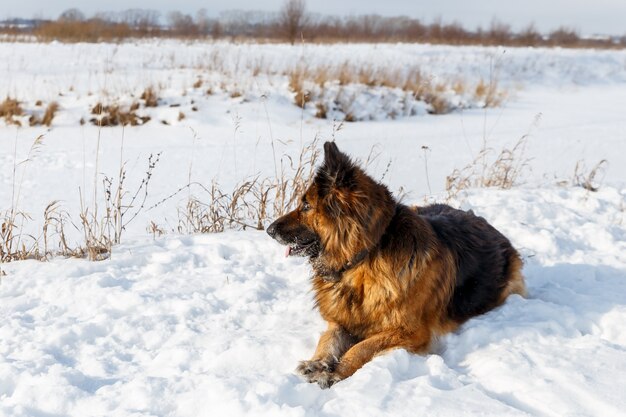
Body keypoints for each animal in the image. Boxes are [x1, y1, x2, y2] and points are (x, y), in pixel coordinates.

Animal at [266, 142, 524, 386]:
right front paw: (318, 362)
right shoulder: (341, 321)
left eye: (306, 206)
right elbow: (327, 339)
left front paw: (337, 371)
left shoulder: (411, 331)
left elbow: (362, 346)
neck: (365, 259)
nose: (269, 230)